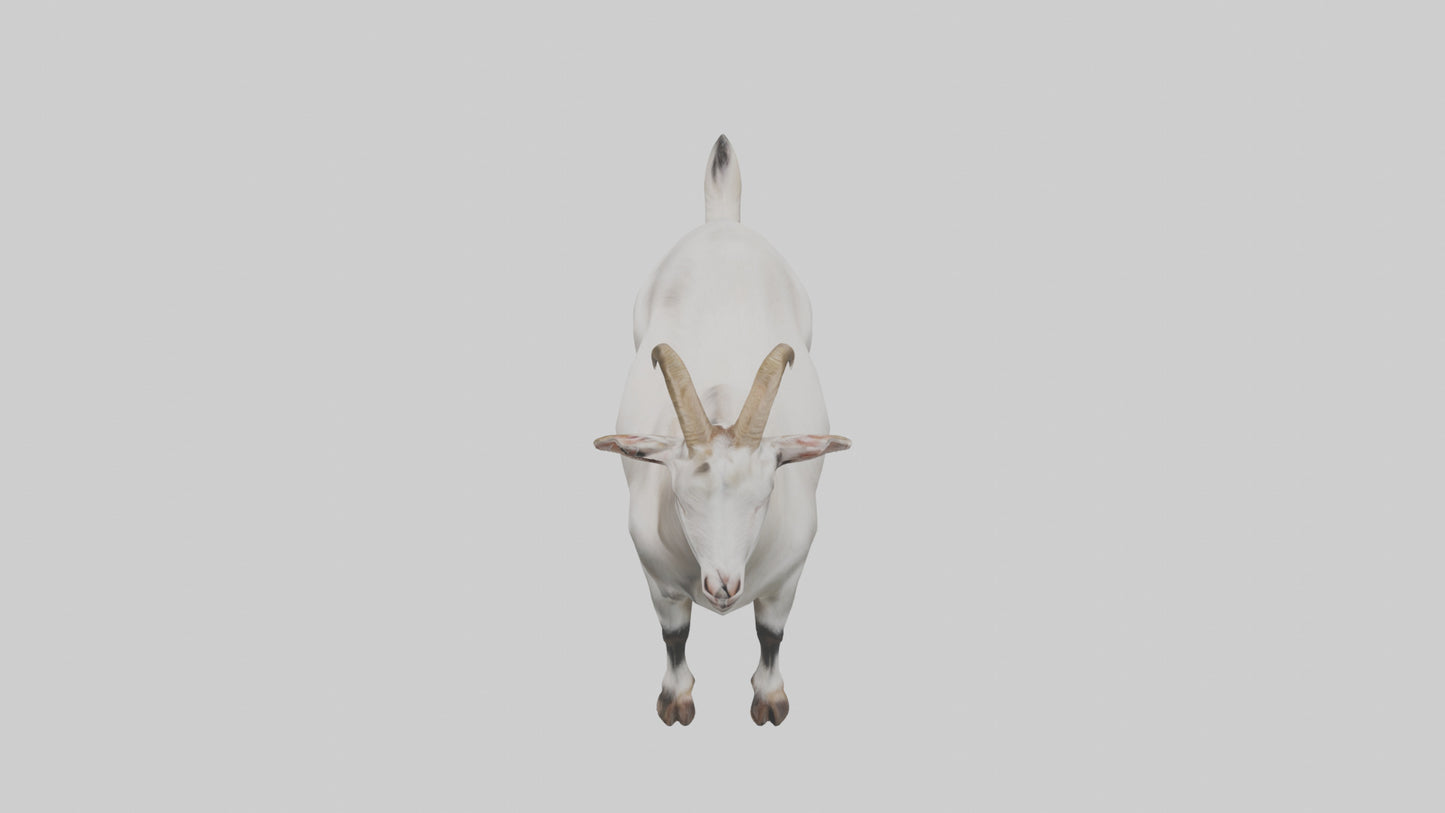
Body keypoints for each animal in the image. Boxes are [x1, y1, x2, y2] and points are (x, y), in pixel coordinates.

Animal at [594, 135, 850, 726]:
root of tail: (723, 223)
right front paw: (676, 700)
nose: (723, 586)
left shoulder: (788, 578)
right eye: (681, 501)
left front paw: (770, 701)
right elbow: (674, 636)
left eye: (765, 498)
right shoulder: (657, 581)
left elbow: (771, 634)